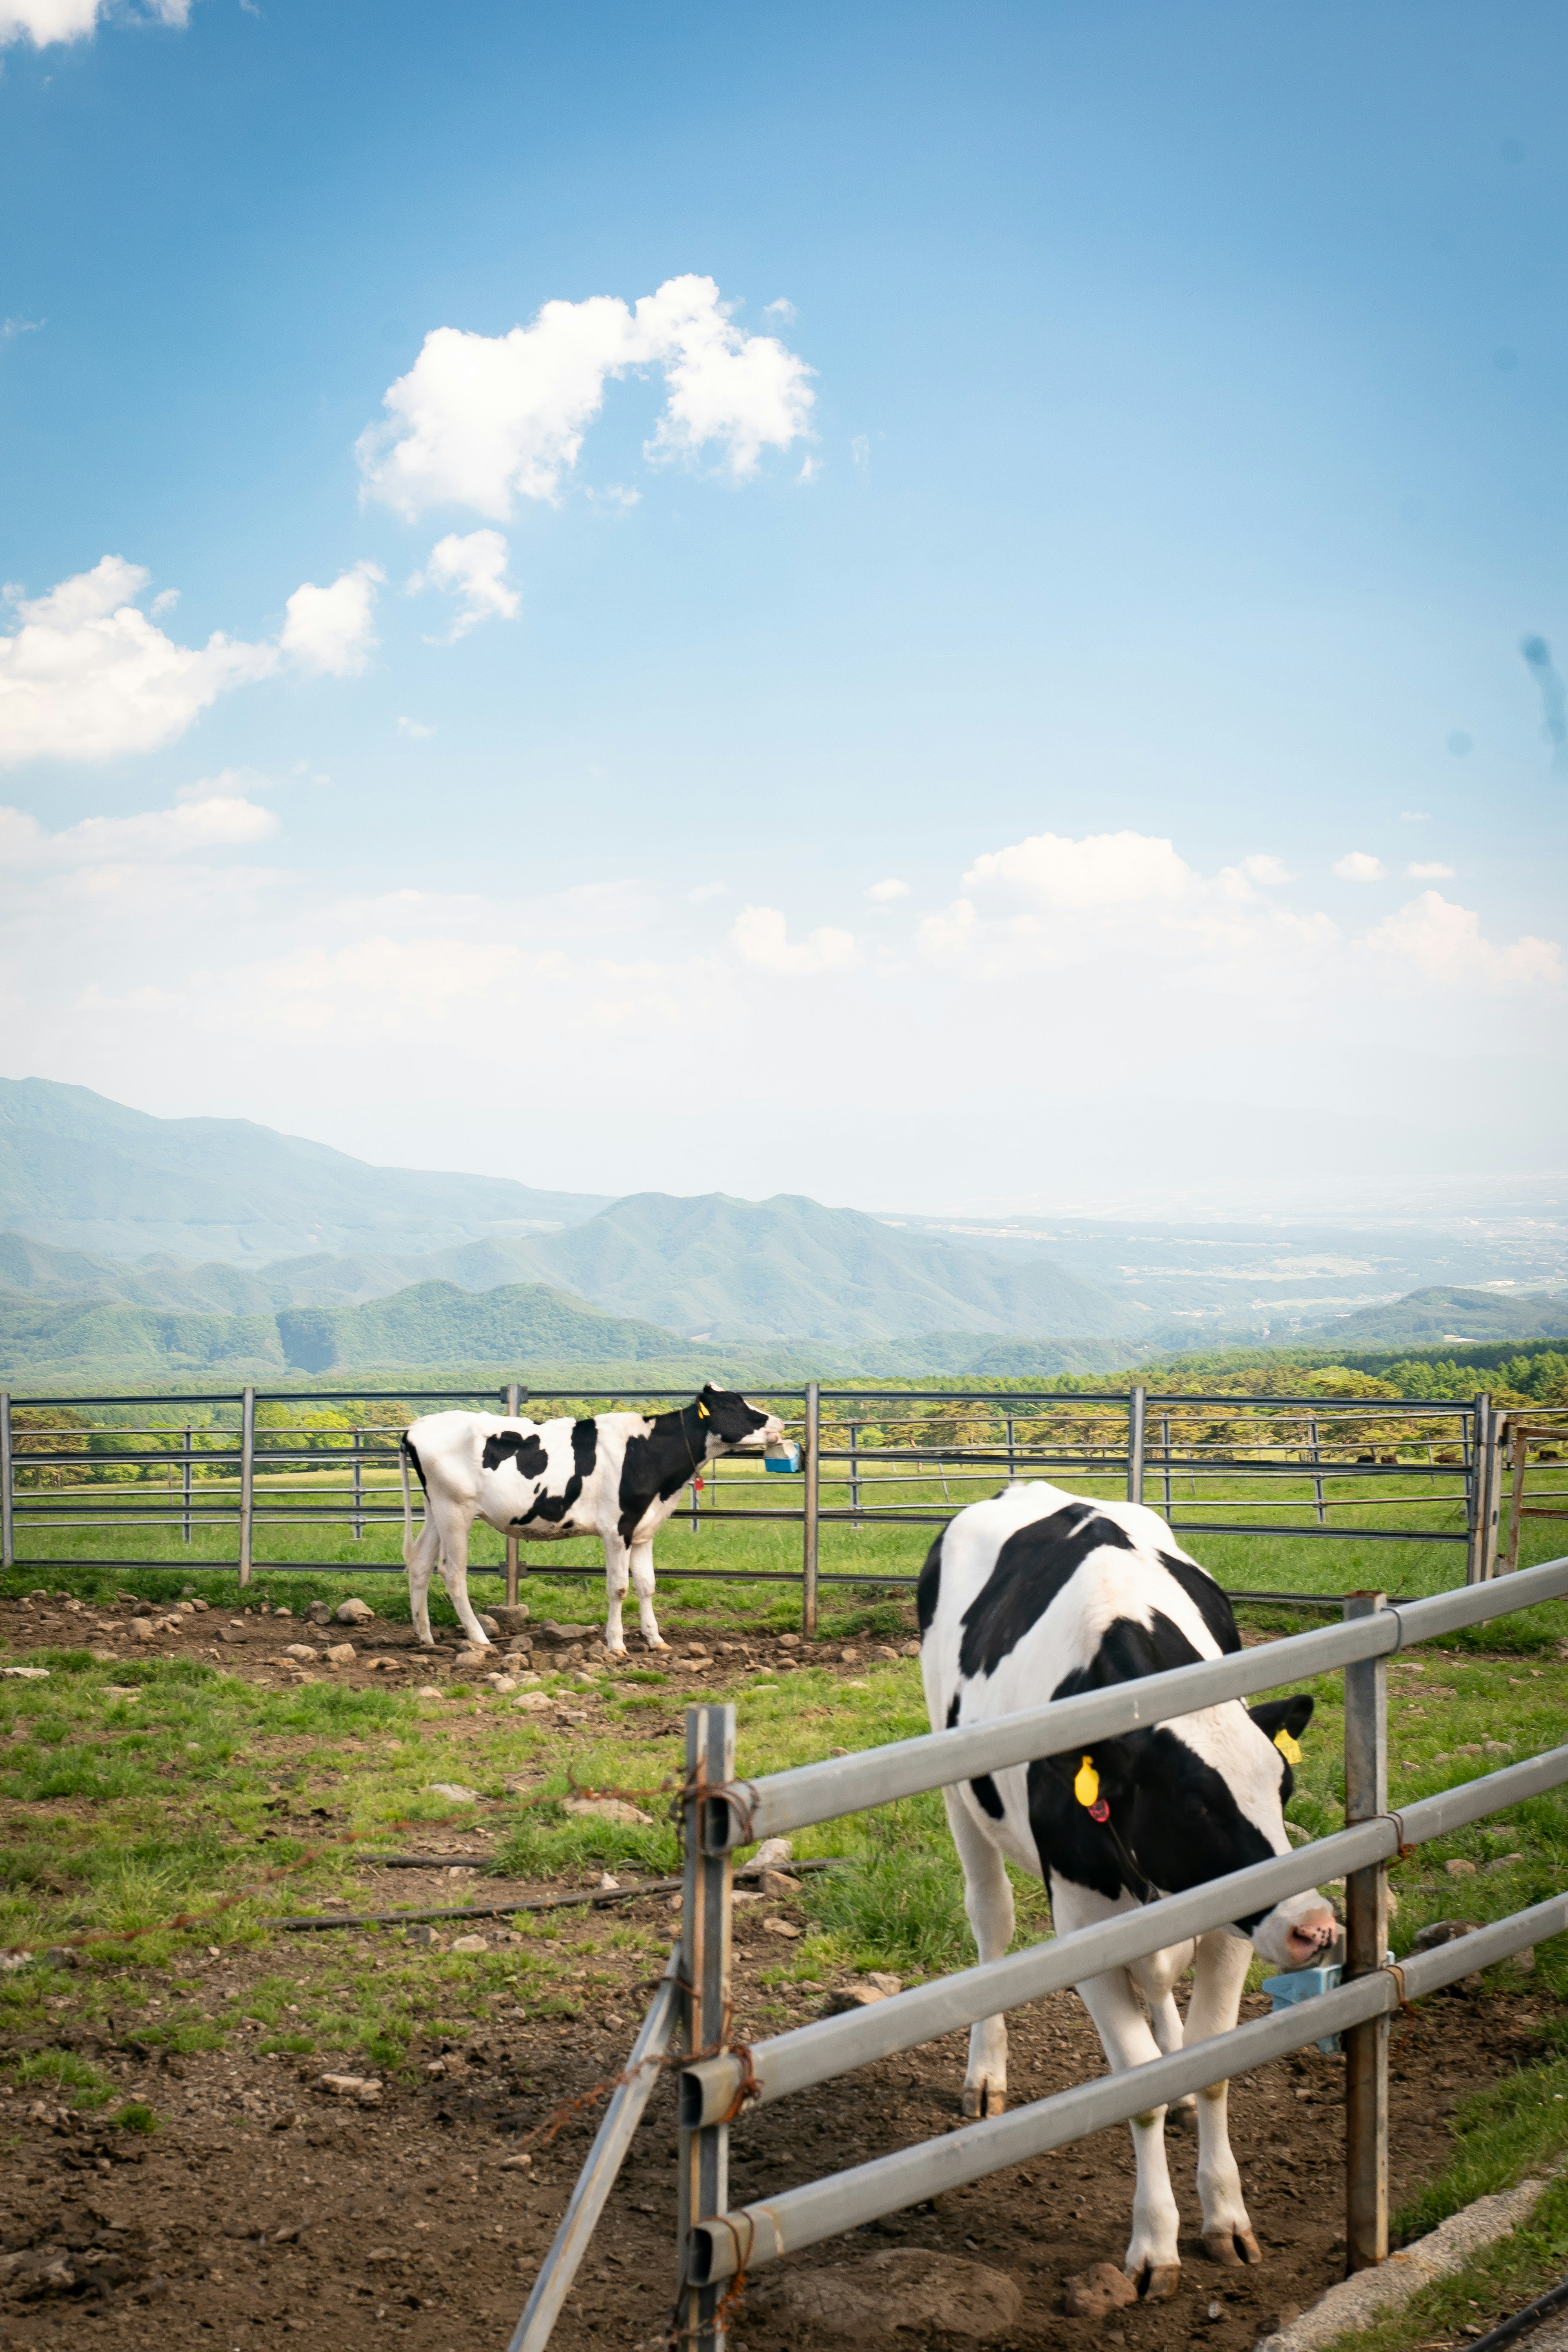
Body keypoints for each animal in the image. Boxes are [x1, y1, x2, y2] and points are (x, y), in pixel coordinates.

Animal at [399, 1383, 780, 1665]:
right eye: (734, 1406)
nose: (779, 1424)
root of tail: (417, 1427)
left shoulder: (643, 1529)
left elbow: (647, 1585)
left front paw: (656, 1639)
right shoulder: (617, 1528)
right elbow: (619, 1587)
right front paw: (616, 1644)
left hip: (436, 1509)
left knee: (420, 1563)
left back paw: (426, 1637)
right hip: (455, 1510)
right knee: (452, 1571)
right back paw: (479, 1639)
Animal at [921, 1486, 1335, 2295]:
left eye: (1283, 1784)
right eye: (1198, 1805)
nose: (1311, 1923)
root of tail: (1022, 1491)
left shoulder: (1231, 1923)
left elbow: (1210, 2064)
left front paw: (1227, 2216)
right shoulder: (1084, 1924)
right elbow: (1136, 2083)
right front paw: (1154, 2243)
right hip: (959, 1794)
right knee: (990, 1920)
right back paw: (985, 2072)